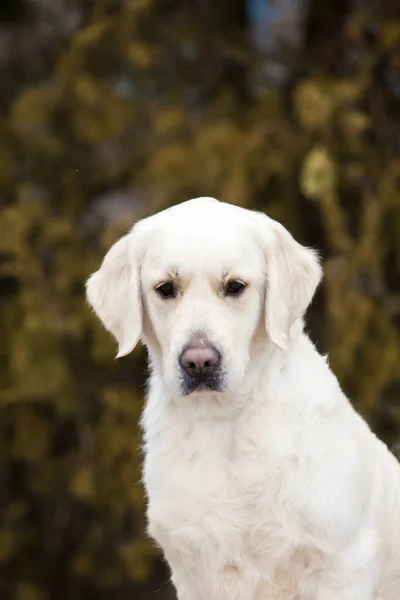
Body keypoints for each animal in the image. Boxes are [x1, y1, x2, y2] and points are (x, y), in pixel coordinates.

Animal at [86, 199, 400, 596]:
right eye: (165, 288)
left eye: (235, 286)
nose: (199, 362)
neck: (223, 422)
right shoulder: (190, 571)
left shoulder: (343, 563)